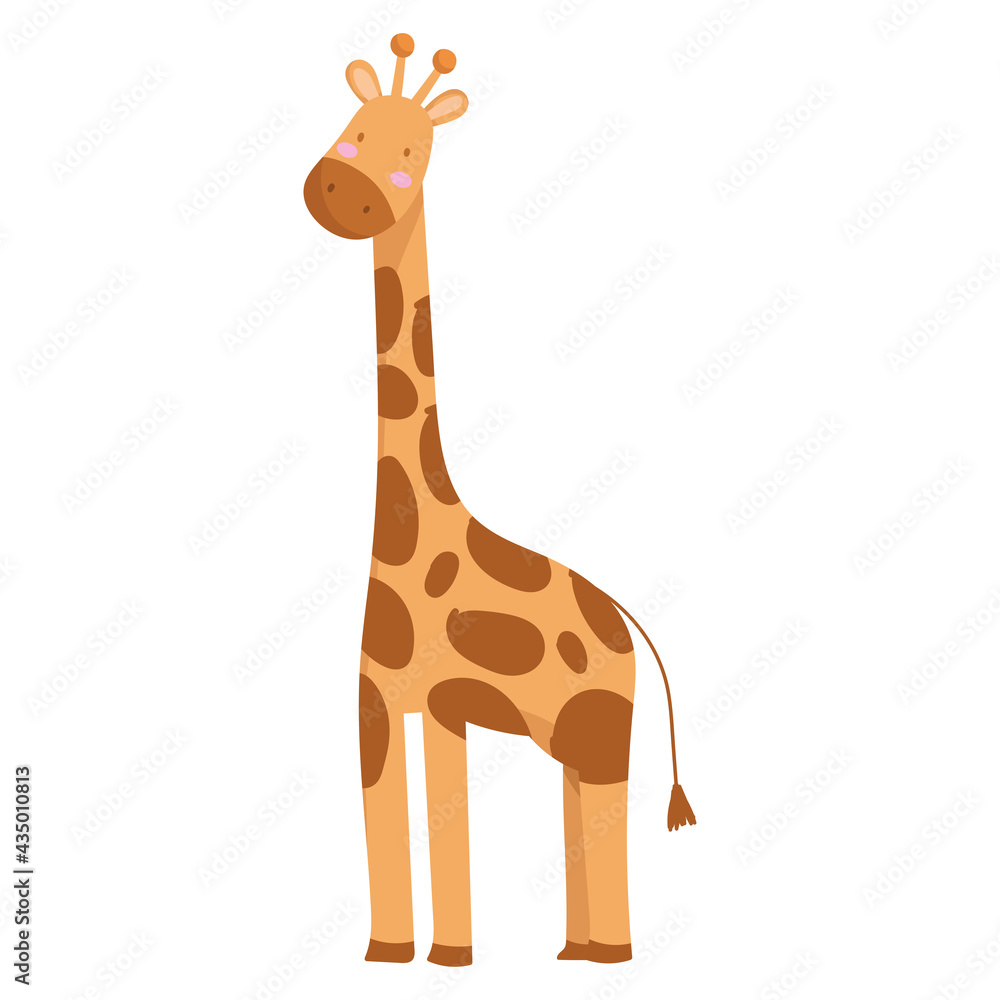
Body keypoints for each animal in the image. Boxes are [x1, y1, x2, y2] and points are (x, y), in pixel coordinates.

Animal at [303, 34, 695, 968]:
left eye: (414, 153)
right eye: (353, 126)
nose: (341, 190)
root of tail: (629, 631)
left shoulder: (445, 702)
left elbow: (445, 817)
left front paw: (449, 957)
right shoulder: (377, 703)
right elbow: (384, 814)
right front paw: (389, 954)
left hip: (602, 725)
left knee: (603, 807)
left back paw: (607, 955)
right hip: (572, 734)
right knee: (575, 804)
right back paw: (574, 951)